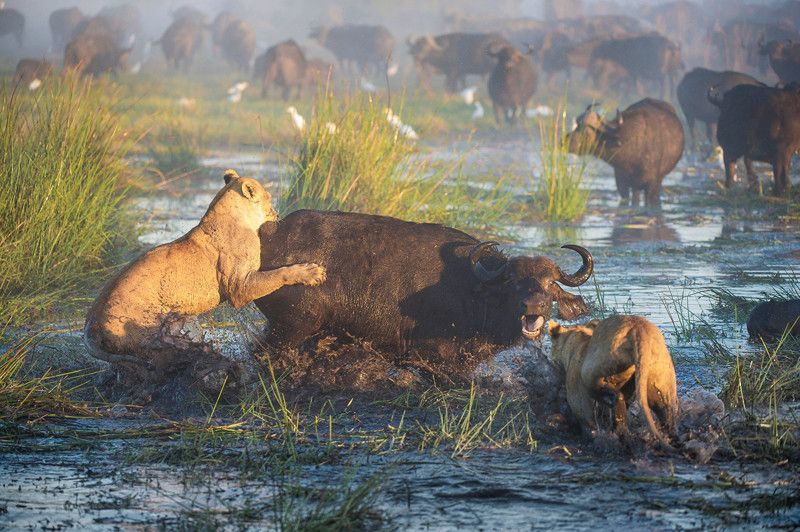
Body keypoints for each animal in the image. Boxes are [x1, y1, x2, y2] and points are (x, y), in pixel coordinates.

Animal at [83, 170, 324, 400]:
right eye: (269, 198)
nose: (277, 213)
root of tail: (90, 322)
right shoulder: (239, 286)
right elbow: (278, 274)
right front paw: (311, 272)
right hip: (145, 337)